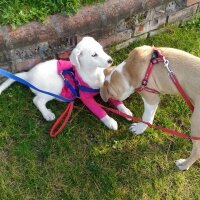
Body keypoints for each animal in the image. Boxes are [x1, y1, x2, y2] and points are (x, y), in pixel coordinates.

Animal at [0, 36, 132, 130]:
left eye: (101, 49)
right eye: (94, 55)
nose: (110, 60)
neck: (93, 72)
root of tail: (28, 75)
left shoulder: (107, 87)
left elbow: (117, 102)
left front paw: (126, 111)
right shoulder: (86, 98)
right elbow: (100, 110)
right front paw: (110, 121)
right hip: (55, 86)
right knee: (37, 100)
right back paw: (47, 114)